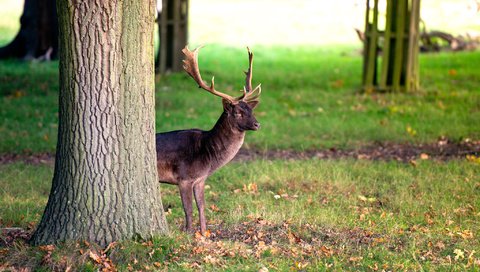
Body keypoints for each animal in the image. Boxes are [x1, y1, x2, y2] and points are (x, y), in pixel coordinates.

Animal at [157, 45, 262, 235]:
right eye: (238, 113)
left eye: (251, 110)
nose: (257, 124)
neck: (207, 154)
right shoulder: (184, 177)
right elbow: (188, 208)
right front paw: (189, 233)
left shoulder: (200, 179)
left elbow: (202, 206)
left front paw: (204, 233)